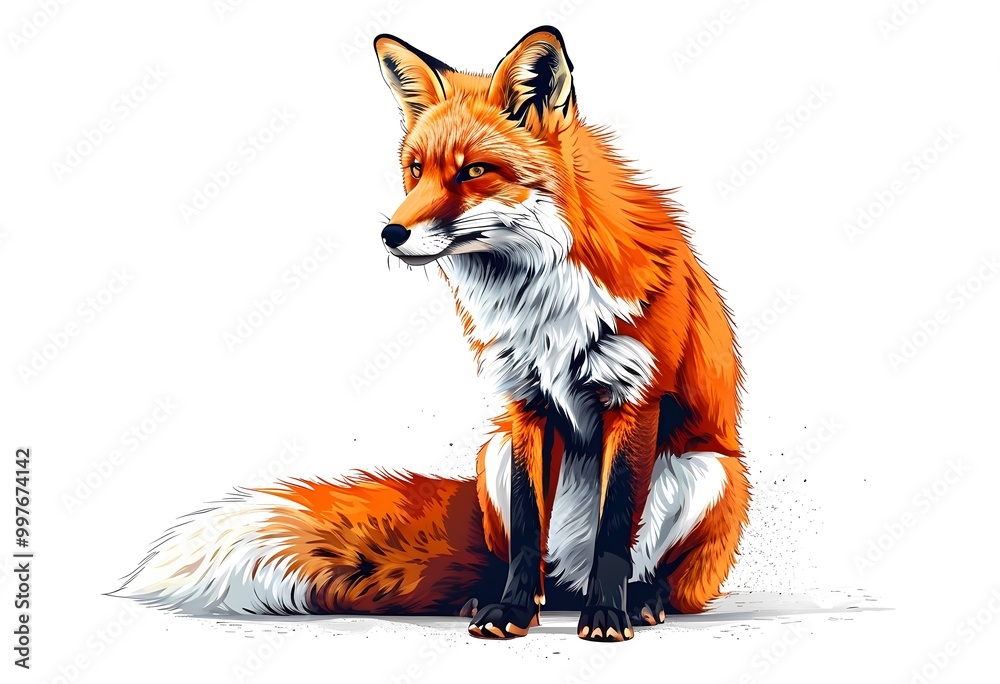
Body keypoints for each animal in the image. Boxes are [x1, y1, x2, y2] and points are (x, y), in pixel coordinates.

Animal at [115, 26, 749, 643]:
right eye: (416, 169)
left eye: (474, 171)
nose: (390, 234)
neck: (542, 304)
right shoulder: (524, 405)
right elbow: (527, 530)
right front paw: (510, 612)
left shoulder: (634, 400)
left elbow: (615, 529)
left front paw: (607, 616)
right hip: (493, 454)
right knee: (529, 561)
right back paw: (501, 596)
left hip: (707, 473)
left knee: (661, 578)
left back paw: (639, 600)